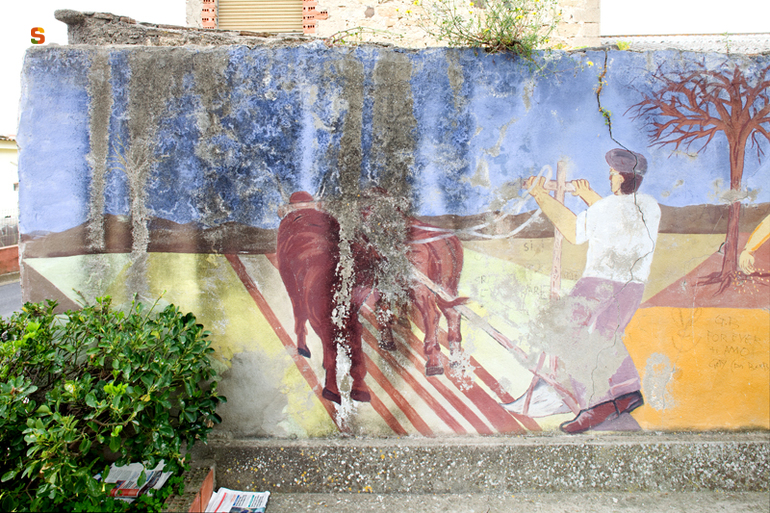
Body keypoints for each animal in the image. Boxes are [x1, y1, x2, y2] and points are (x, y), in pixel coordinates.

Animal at [276, 191, 465, 405]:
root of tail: (441, 241)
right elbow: (384, 308)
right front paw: (390, 335)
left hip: (420, 290)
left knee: (432, 315)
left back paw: (434, 362)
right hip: (448, 287)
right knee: (452, 314)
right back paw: (456, 359)